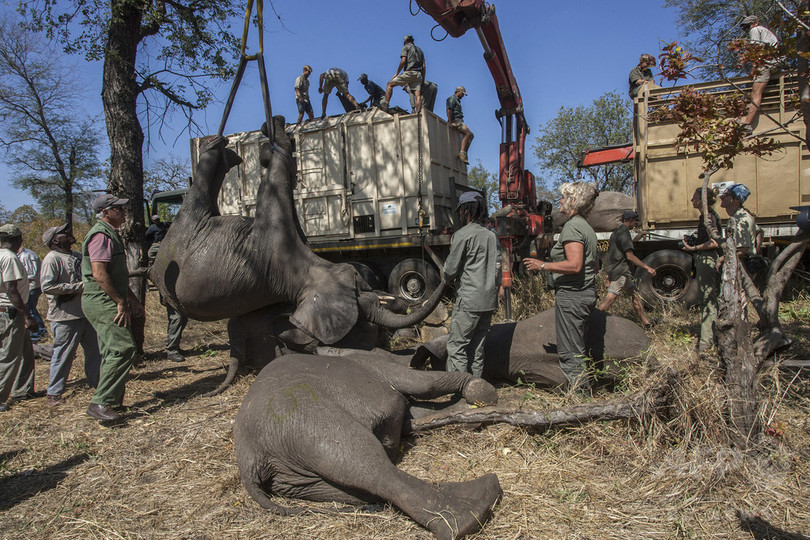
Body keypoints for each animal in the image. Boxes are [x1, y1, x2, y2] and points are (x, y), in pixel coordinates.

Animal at [148, 115, 446, 350]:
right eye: (360, 290)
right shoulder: (275, 238)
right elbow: (278, 179)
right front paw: (274, 136)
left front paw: (273, 140)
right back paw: (219, 146)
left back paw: (222, 149)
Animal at [230, 352, 502, 536]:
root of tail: (249, 459)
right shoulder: (377, 366)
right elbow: (424, 385)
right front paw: (482, 393)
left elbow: (417, 413)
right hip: (304, 422)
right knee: (367, 464)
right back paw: (470, 514)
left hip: (291, 475)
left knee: (355, 488)